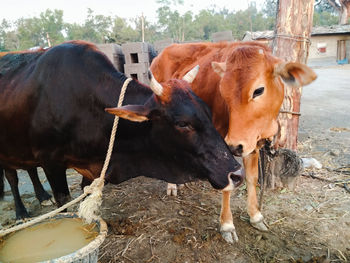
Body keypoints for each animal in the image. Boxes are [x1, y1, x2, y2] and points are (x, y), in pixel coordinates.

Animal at [0, 42, 242, 213]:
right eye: (182, 123)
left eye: (208, 113)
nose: (237, 174)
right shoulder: (51, 163)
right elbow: (63, 204)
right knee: (12, 177)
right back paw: (21, 213)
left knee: (29, 169)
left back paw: (42, 196)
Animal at [151, 41, 318, 243]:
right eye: (223, 91)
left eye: (258, 90)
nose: (234, 146)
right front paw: (227, 225)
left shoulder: (252, 144)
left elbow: (252, 178)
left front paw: (256, 216)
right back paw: (171, 185)